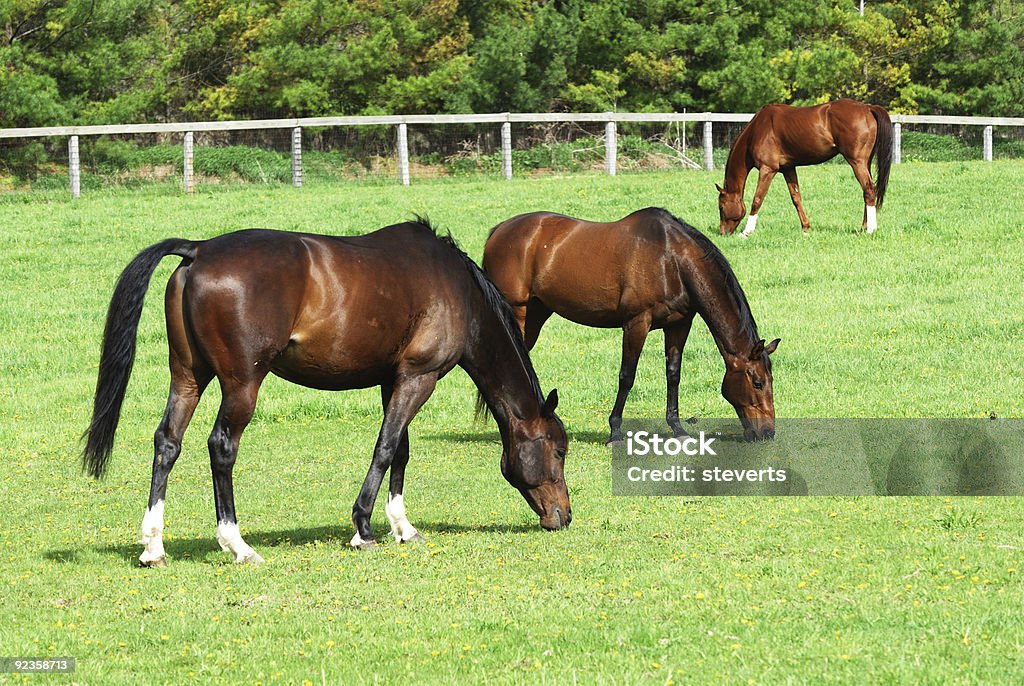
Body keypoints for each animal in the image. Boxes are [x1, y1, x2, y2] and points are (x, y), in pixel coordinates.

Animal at [82, 222, 573, 569]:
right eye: (559, 450)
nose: (563, 516)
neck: (459, 292)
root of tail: (199, 249)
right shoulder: (419, 377)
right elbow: (386, 448)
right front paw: (364, 528)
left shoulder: (394, 379)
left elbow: (401, 451)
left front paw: (403, 526)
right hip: (241, 385)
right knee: (221, 446)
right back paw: (237, 543)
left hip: (188, 376)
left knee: (167, 442)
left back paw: (154, 546)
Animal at [483, 207, 778, 446]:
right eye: (758, 382)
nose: (768, 433)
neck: (671, 260)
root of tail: (499, 230)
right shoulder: (636, 323)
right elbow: (627, 376)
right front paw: (614, 433)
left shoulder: (679, 325)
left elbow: (673, 374)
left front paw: (678, 429)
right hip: (518, 313)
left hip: (536, 314)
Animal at [716, 98, 892, 239]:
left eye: (721, 207)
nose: (723, 233)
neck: (758, 130)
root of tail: (867, 108)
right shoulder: (788, 169)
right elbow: (796, 198)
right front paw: (806, 228)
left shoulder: (768, 169)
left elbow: (757, 199)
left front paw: (746, 232)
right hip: (865, 163)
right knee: (868, 191)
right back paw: (863, 227)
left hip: (857, 162)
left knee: (869, 190)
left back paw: (870, 229)